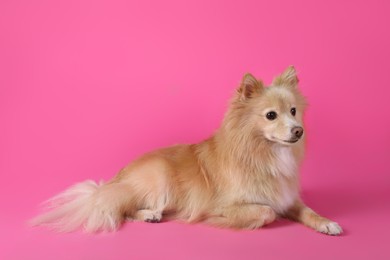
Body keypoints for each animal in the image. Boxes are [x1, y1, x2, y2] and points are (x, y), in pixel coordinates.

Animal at [30, 66, 342, 236]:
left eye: (293, 112)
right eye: (271, 116)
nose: (298, 131)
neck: (263, 153)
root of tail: (115, 180)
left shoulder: (288, 199)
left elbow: (309, 211)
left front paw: (327, 223)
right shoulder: (224, 206)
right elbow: (266, 211)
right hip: (159, 179)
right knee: (122, 209)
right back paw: (149, 215)